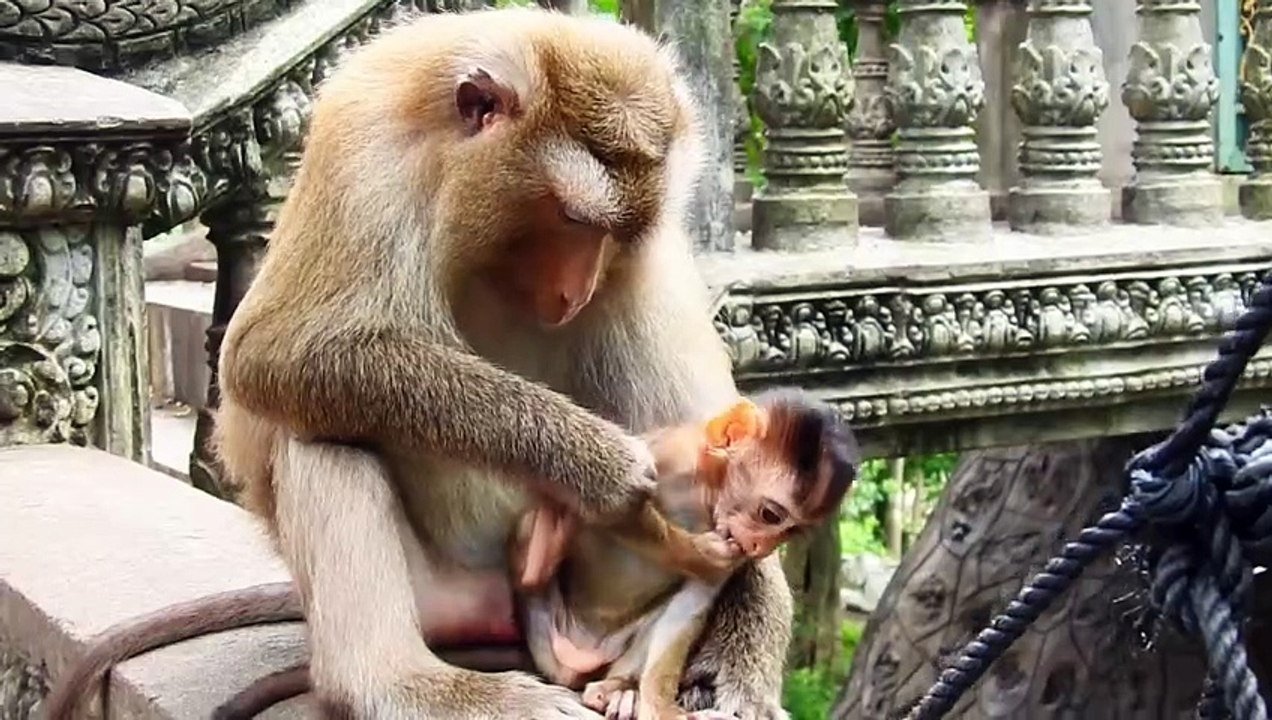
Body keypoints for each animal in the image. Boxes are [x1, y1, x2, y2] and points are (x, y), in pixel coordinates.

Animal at [203, 6, 794, 720]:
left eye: (617, 234)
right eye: (572, 218)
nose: (576, 292)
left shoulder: (646, 258)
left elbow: (720, 435)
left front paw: (746, 649)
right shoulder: (366, 151)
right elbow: (272, 351)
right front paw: (595, 464)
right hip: (441, 595)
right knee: (321, 433)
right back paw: (403, 684)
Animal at [510, 389, 859, 720]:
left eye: (788, 533)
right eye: (770, 514)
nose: (760, 547)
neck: (704, 493)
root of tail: (574, 663)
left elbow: (693, 602)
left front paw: (660, 706)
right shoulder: (670, 454)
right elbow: (621, 508)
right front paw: (700, 554)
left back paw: (619, 689)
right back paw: (544, 551)